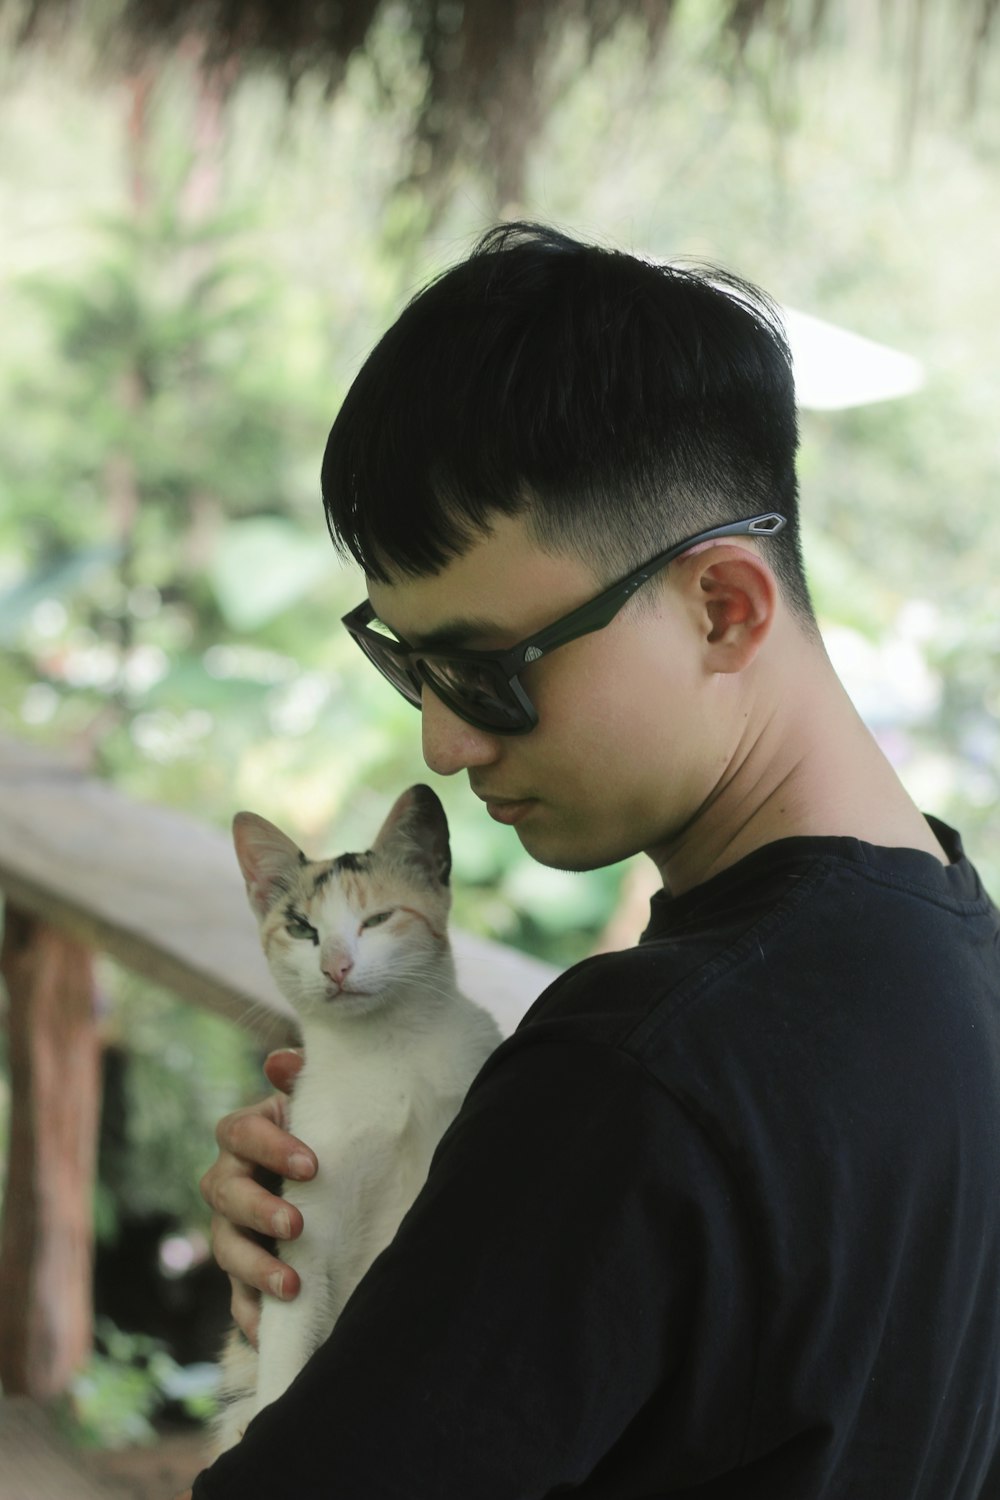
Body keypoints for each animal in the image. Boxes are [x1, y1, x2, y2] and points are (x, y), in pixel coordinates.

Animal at [214, 786, 503, 1452]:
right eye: (302, 928)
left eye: (376, 920)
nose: (337, 967)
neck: (384, 1049)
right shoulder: (305, 1222)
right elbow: (289, 1333)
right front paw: (271, 1408)